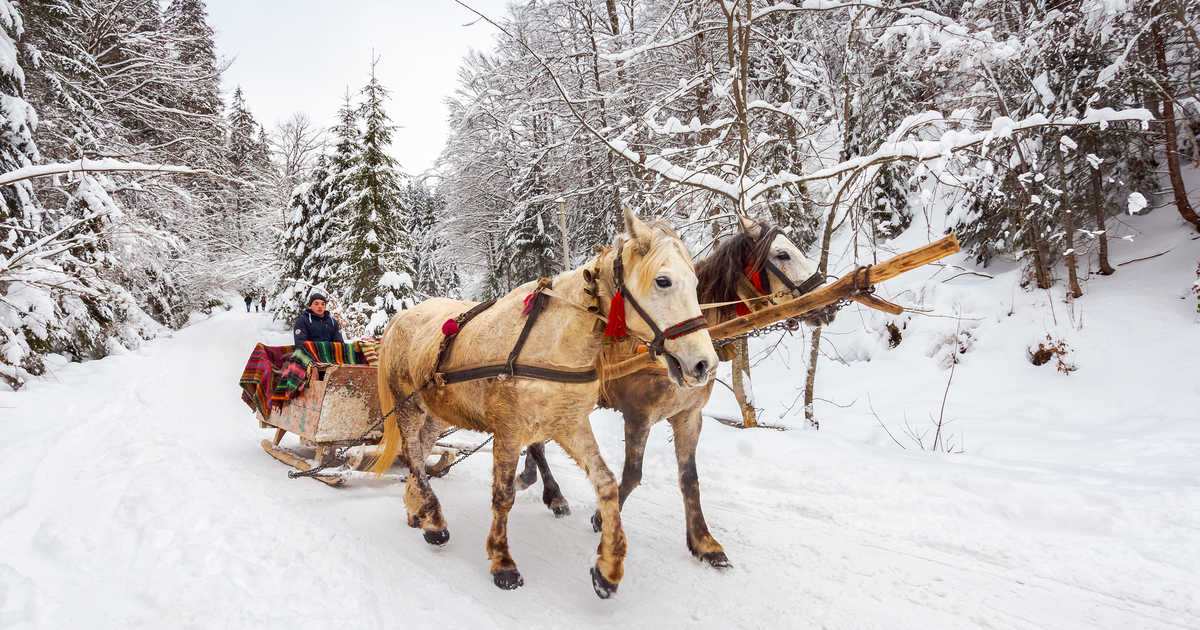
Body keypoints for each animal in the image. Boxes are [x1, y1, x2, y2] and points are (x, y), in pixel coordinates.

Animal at [369, 208, 715, 597]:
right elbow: (503, 494)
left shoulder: (571, 423)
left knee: (423, 448)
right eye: (663, 281)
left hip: (437, 411)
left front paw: (607, 567)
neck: (553, 342)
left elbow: (607, 483)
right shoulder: (509, 429)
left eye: (696, 282)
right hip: (407, 406)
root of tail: (399, 317)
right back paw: (434, 520)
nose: (704, 364)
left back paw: (417, 510)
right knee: (413, 455)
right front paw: (502, 561)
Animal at [516, 213, 825, 566]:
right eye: (782, 254)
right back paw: (552, 494)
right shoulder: (638, 416)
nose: (824, 302)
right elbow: (632, 475)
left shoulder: (689, 416)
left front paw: (704, 542)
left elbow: (689, 479)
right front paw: (599, 517)